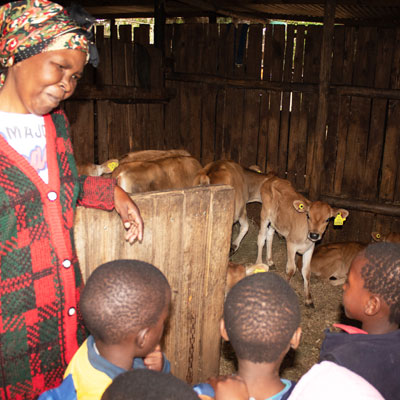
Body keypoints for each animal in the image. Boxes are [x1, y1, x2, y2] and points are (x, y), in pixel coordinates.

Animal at [258, 176, 348, 306]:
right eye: (308, 216)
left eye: (327, 219)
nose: (314, 235)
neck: (306, 237)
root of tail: (272, 178)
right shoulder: (291, 244)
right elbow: (291, 269)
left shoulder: (310, 248)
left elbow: (306, 272)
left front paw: (308, 299)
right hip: (265, 214)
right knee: (261, 237)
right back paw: (259, 262)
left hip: (276, 221)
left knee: (269, 236)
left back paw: (270, 261)